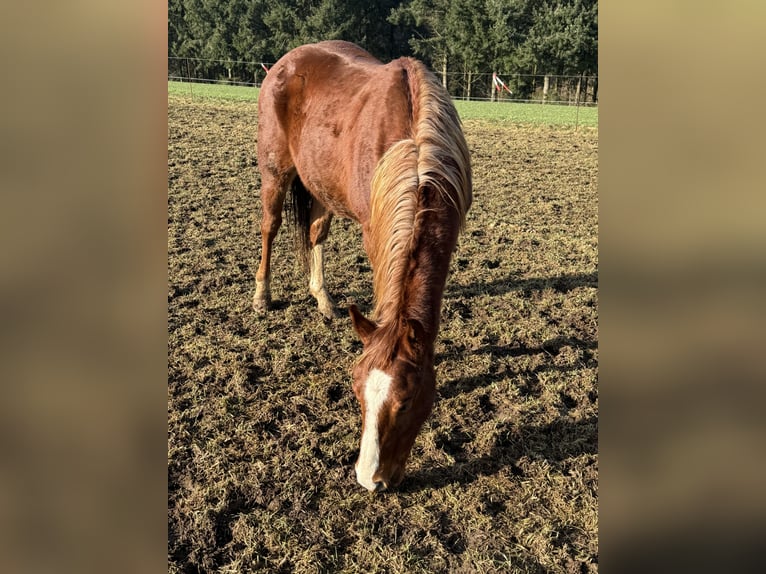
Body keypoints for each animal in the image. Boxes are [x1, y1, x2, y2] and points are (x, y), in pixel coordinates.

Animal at [255, 41, 472, 490]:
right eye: (354, 392)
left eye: (406, 402)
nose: (369, 479)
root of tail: (285, 63)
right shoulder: (375, 231)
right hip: (275, 171)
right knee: (270, 226)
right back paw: (262, 295)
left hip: (321, 183)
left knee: (316, 232)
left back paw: (323, 299)